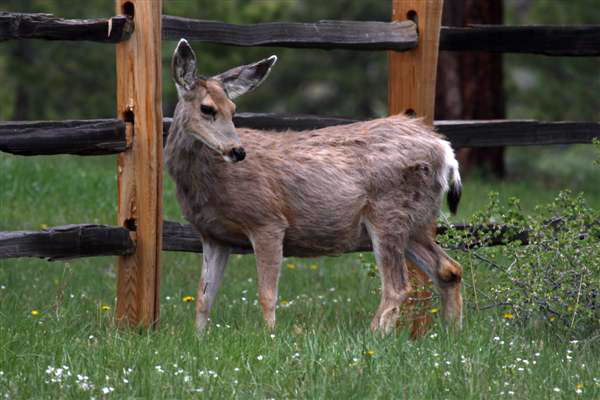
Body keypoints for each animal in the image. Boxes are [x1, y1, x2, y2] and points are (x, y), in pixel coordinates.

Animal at [164, 39, 464, 334]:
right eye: (206, 108)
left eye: (234, 110)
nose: (237, 151)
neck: (207, 184)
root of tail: (444, 149)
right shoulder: (213, 235)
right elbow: (203, 298)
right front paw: (199, 338)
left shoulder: (267, 220)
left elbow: (267, 294)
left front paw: (270, 336)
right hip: (416, 220)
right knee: (448, 269)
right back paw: (451, 332)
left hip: (389, 212)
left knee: (398, 286)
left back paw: (375, 335)